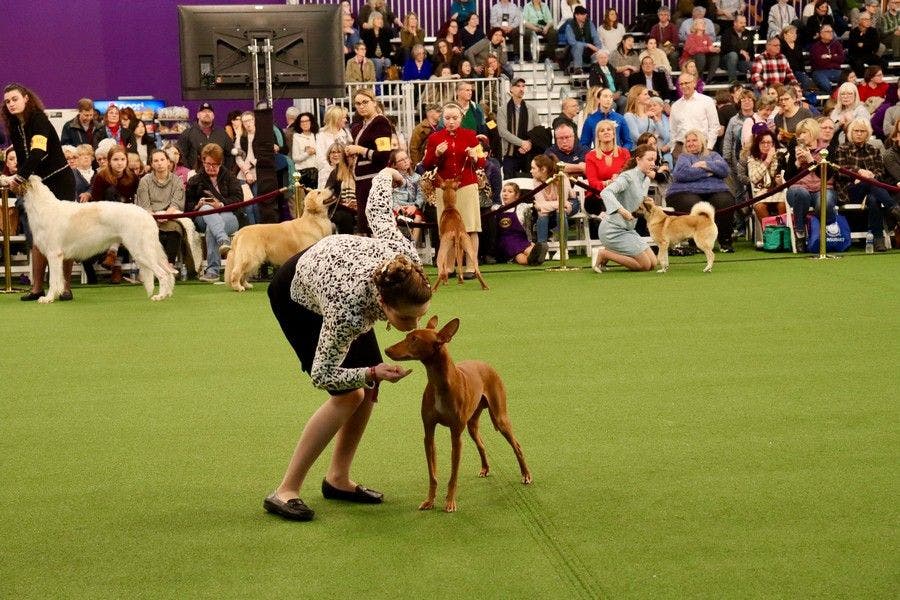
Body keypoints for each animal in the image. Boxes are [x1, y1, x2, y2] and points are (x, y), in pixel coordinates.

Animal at [22, 176, 176, 302]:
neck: (43, 207)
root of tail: (148, 216)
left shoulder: (54, 255)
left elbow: (53, 281)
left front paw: (48, 298)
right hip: (149, 251)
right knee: (169, 272)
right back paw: (167, 294)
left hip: (141, 252)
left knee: (163, 274)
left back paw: (160, 296)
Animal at [384, 316, 532, 512]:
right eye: (407, 335)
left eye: (414, 339)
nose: (386, 349)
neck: (439, 383)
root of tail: (484, 363)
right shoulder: (429, 434)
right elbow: (433, 474)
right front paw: (430, 500)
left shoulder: (456, 436)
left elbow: (453, 475)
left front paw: (450, 502)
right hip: (472, 425)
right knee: (481, 444)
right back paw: (485, 468)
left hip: (500, 418)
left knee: (517, 446)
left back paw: (526, 474)